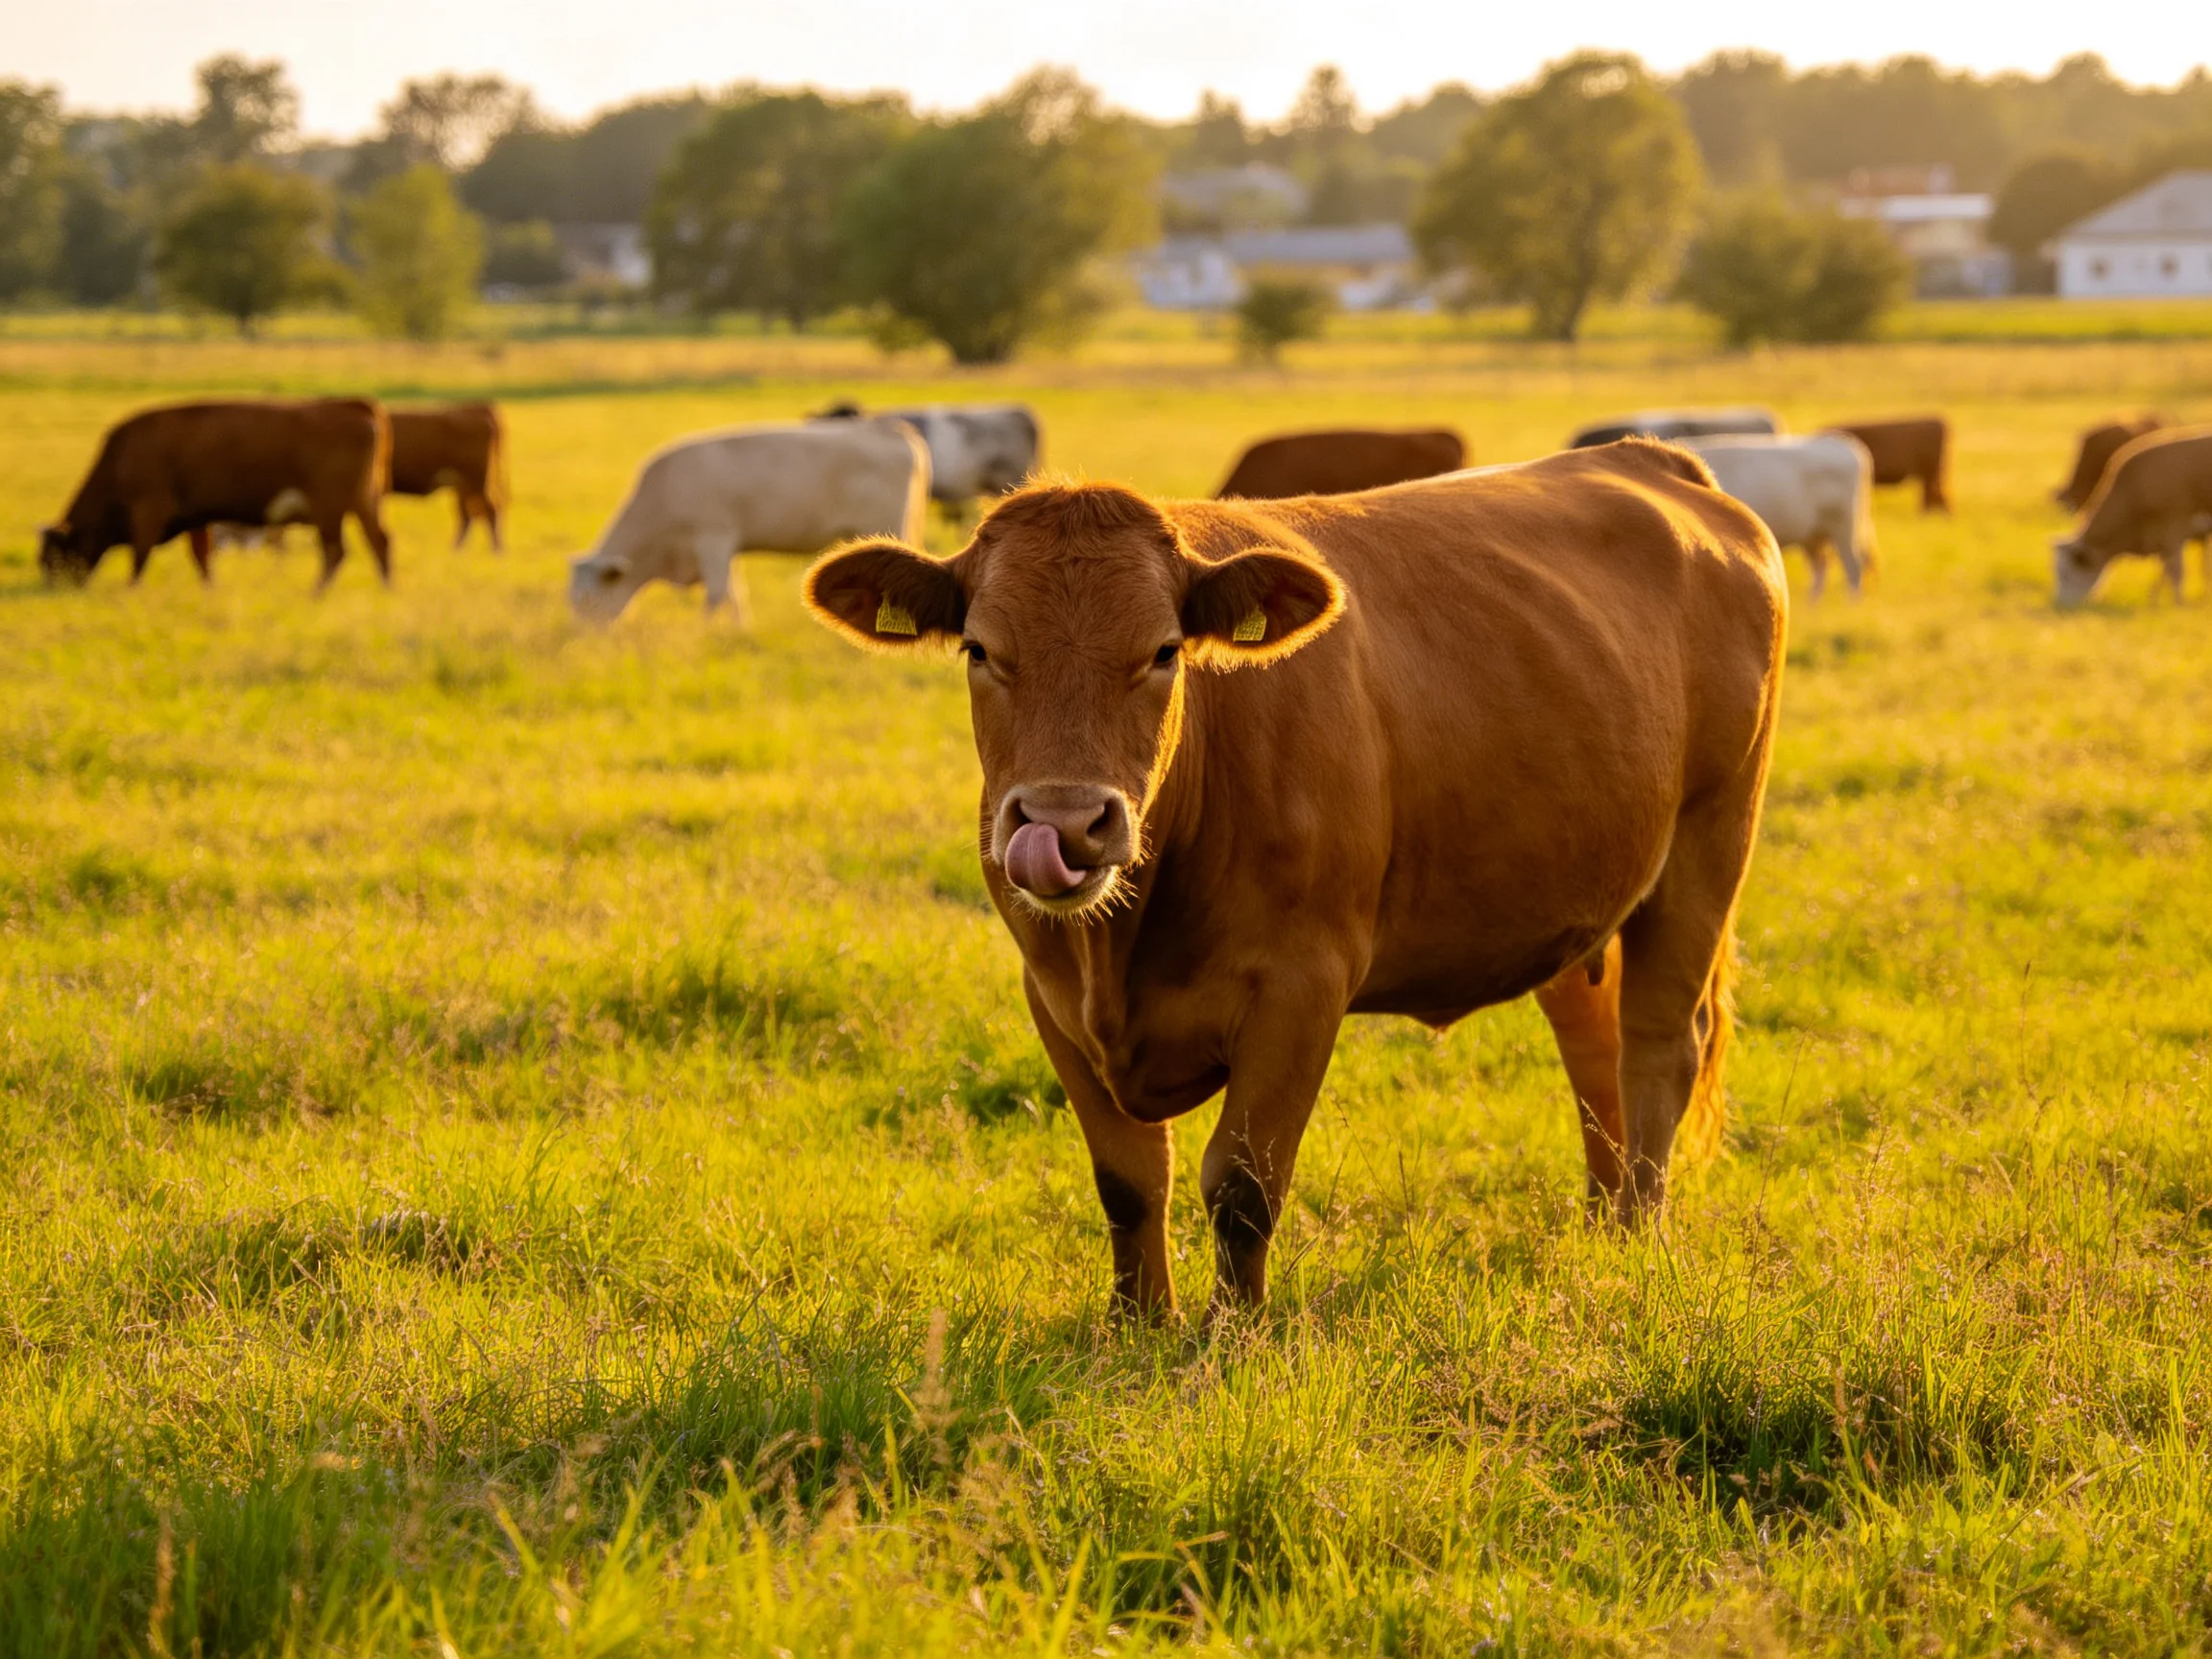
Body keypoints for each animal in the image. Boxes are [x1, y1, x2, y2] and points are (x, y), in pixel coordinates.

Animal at [39, 399, 392, 591]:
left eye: (53, 558)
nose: (54, 588)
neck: (122, 457)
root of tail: (351, 406)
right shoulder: (196, 517)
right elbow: (202, 557)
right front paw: (210, 589)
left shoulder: (149, 511)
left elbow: (140, 555)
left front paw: (131, 589)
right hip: (364, 502)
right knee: (379, 541)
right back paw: (386, 590)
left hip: (329, 509)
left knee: (335, 552)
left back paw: (315, 594)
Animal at [569, 421, 929, 623]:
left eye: (588, 601)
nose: (582, 644)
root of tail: (890, 430)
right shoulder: (726, 546)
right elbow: (734, 592)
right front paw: (738, 632)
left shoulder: (712, 537)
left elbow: (716, 594)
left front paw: (703, 636)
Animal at [802, 444, 1787, 1321]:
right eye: (978, 650)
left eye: (1164, 651)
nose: (1068, 823)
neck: (1122, 941)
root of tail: (1650, 460)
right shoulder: (1049, 991)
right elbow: (1128, 1181)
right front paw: (1137, 1324)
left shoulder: (1302, 987)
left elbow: (1241, 1185)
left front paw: (1229, 1337)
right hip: (1572, 892)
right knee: (1593, 1047)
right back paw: (1599, 1231)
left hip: (1709, 842)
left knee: (1658, 1045)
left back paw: (1639, 1239)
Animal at [1681, 433, 1877, 601]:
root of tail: (1840, 443)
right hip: (1813, 534)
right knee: (1821, 567)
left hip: (1843, 527)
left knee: (1853, 566)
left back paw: (1851, 604)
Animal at [2053, 426, 2212, 606]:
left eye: (2065, 575)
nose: (2059, 604)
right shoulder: (2161, 538)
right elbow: (2164, 570)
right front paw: (2153, 600)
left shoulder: (2173, 530)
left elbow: (2176, 572)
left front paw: (2179, 604)